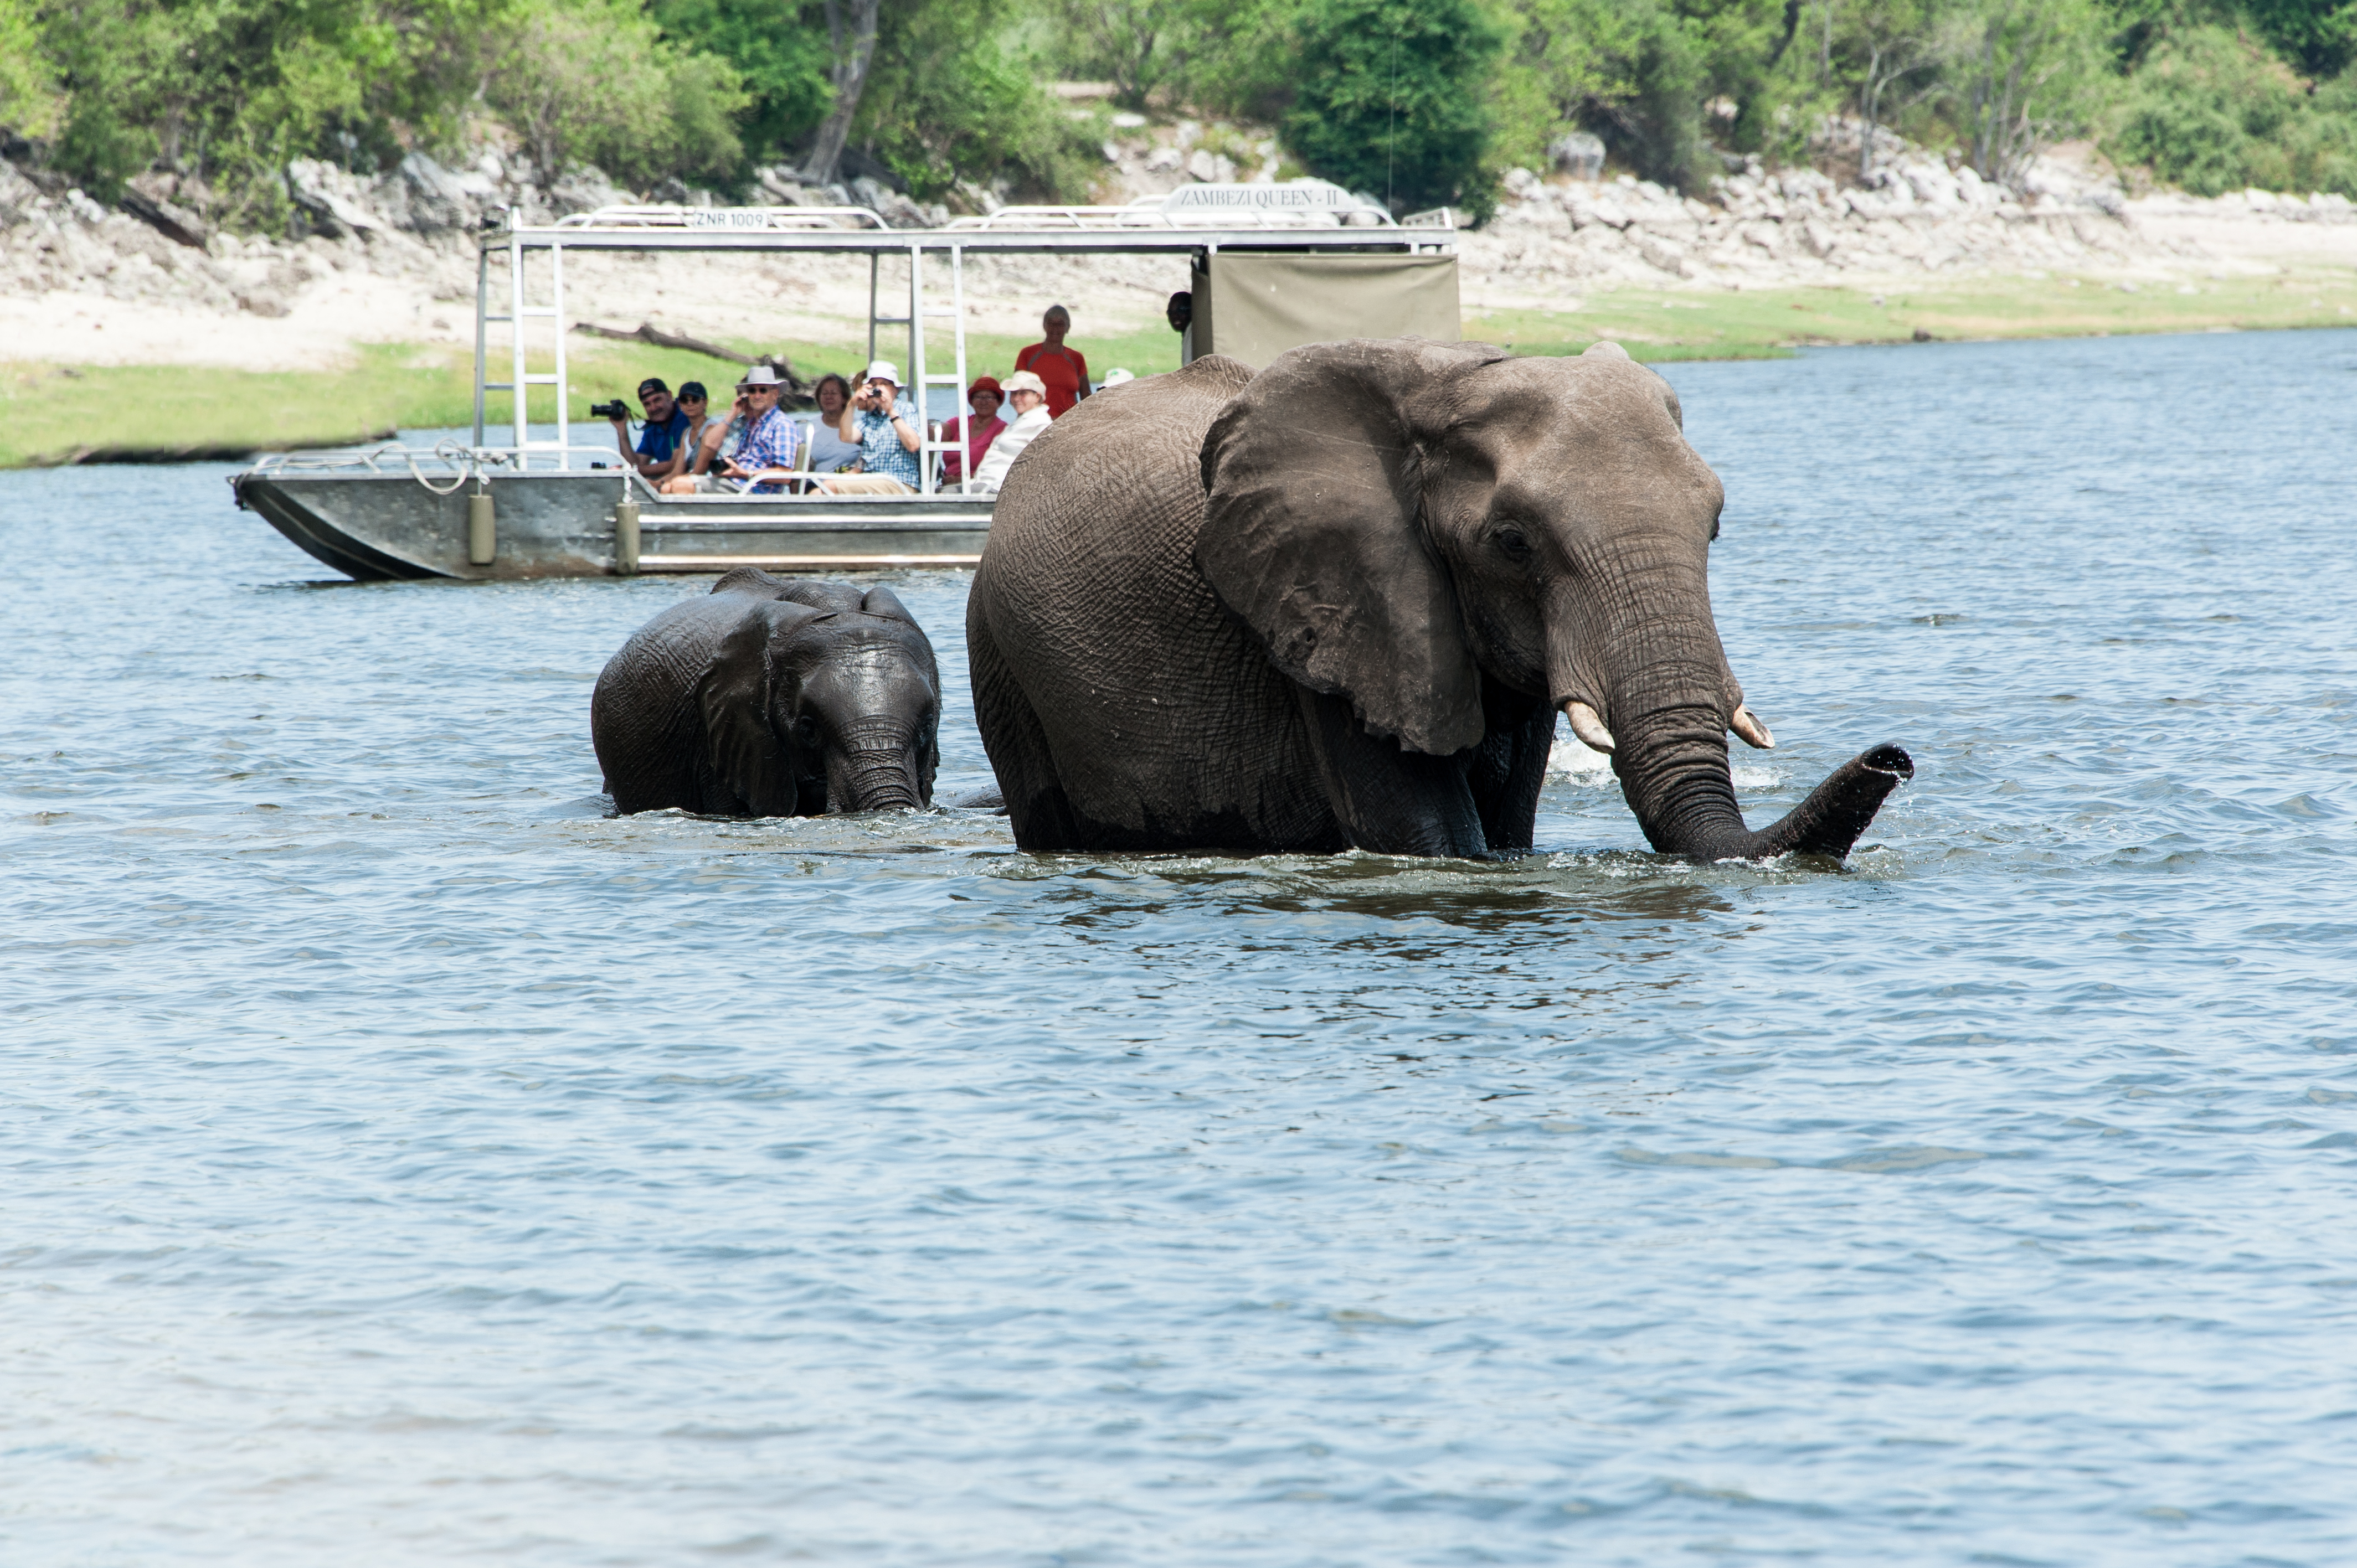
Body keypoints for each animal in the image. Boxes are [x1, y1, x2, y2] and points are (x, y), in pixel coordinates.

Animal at [966, 337, 1904, 863]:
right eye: (1513, 543)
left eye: (1713, 526)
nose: (1892, 757)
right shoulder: (1335, 614)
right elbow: (1429, 831)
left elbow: (1507, 827)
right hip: (1003, 656)